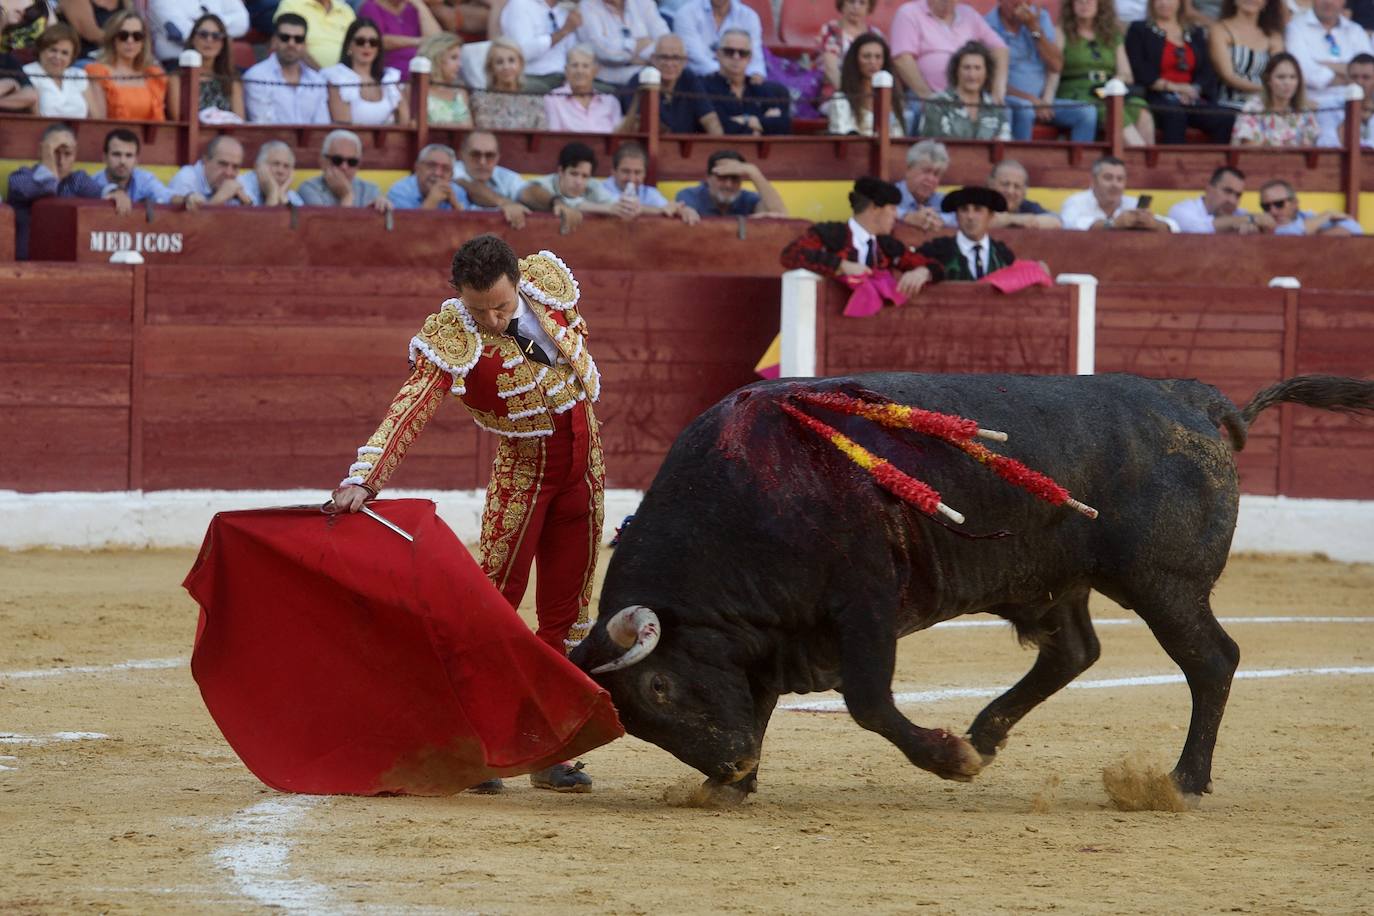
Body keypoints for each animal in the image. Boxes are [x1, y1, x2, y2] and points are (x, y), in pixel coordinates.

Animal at [568, 370, 1374, 796]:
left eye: (659, 688)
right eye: (634, 719)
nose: (731, 762)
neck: (740, 501)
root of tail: (1201, 404)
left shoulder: (863, 605)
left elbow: (867, 701)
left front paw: (947, 758)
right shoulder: (769, 636)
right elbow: (763, 700)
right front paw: (730, 784)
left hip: (1162, 584)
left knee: (1211, 661)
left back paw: (1182, 779)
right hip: (1056, 581)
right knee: (1075, 652)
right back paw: (989, 732)